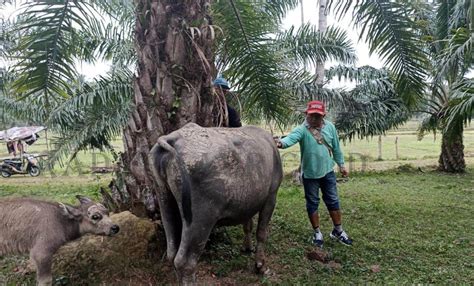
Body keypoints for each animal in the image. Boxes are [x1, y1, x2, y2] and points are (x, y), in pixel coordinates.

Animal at [149, 122, 282, 284]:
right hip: (200, 220)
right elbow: (261, 233)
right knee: (185, 261)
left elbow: (248, 225)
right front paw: (260, 266)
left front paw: (247, 247)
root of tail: (172, 138)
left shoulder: (248, 203)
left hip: (165, 202)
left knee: (172, 253)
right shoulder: (271, 196)